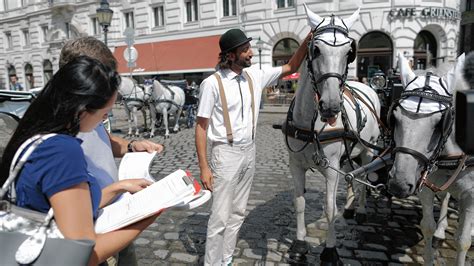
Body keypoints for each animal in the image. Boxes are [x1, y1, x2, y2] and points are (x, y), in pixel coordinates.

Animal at [282, 6, 382, 264]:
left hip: (368, 150)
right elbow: (299, 202)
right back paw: (349, 207)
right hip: (348, 155)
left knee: (363, 177)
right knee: (350, 176)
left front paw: (330, 250)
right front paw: (299, 244)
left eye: (349, 53)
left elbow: (329, 209)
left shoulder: (331, 168)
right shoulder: (295, 164)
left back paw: (361, 210)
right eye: (315, 49)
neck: (310, 122)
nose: (331, 106)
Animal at [386, 53, 472, 264]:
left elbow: (462, 241)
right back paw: (441, 232)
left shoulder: (470, 195)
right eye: (395, 117)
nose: (399, 184)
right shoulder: (423, 184)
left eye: (440, 122)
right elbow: (427, 227)